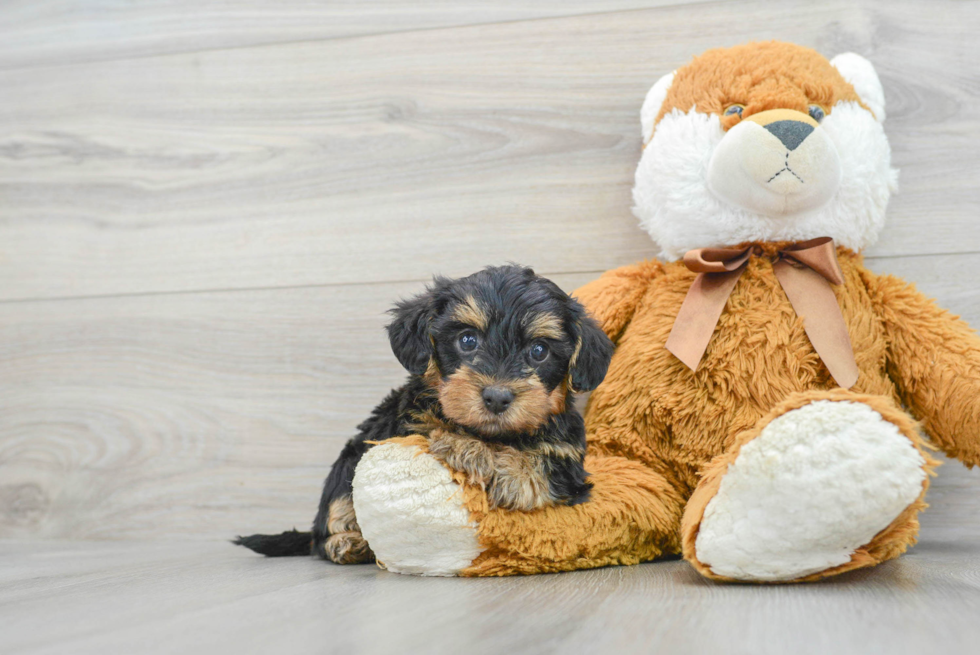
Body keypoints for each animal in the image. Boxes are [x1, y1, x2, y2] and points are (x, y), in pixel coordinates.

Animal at [236, 266, 612, 564]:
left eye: (539, 350)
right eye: (468, 340)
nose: (497, 396)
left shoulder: (569, 460)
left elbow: (544, 466)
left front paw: (500, 465)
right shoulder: (406, 424)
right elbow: (432, 431)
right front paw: (467, 446)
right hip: (347, 464)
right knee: (328, 523)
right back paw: (347, 543)